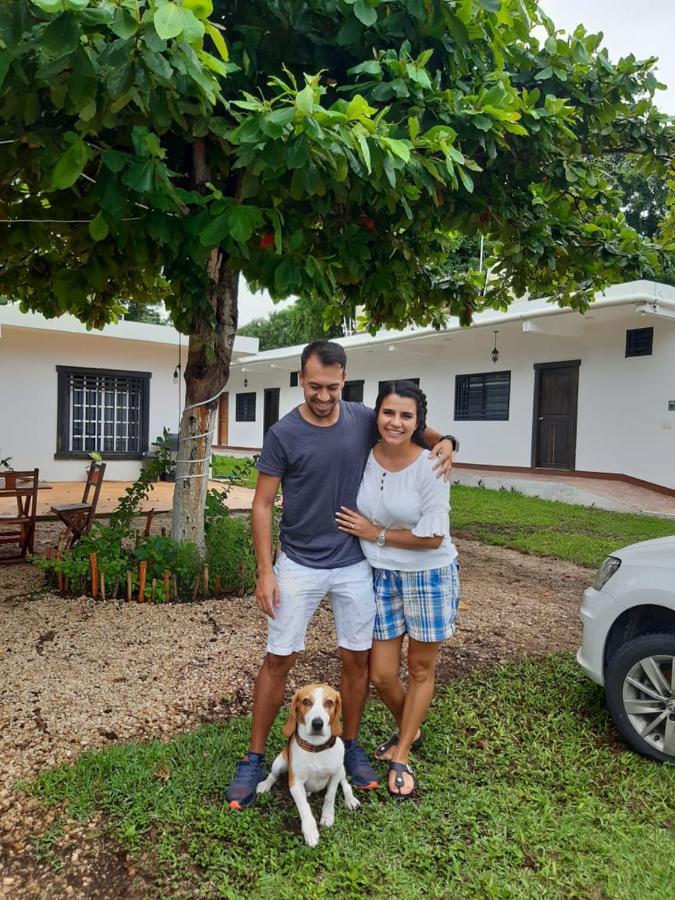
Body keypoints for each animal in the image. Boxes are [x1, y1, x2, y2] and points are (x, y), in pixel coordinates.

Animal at [258, 684, 362, 848]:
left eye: (329, 703)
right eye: (306, 701)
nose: (317, 723)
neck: (316, 747)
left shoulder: (334, 776)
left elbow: (330, 796)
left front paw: (327, 816)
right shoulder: (295, 783)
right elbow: (304, 807)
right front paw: (310, 830)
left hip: (341, 769)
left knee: (345, 783)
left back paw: (350, 799)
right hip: (280, 762)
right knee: (273, 775)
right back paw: (265, 785)